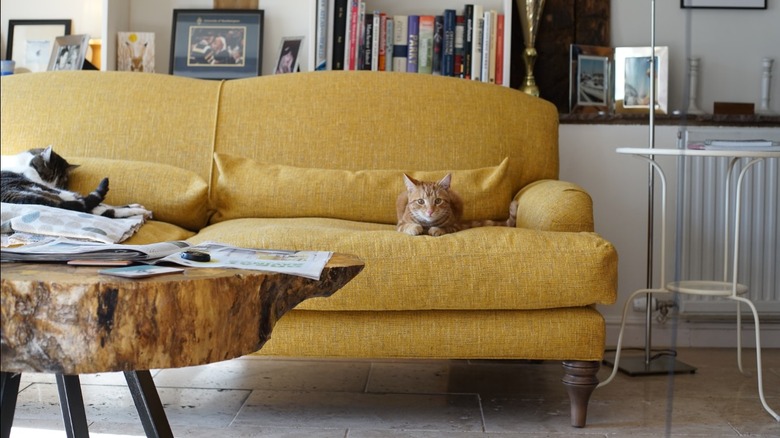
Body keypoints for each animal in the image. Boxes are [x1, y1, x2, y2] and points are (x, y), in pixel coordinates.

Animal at [0, 146, 151, 218]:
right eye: (48, 176)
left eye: (60, 182)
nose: (51, 185)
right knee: (98, 208)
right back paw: (140, 211)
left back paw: (138, 208)